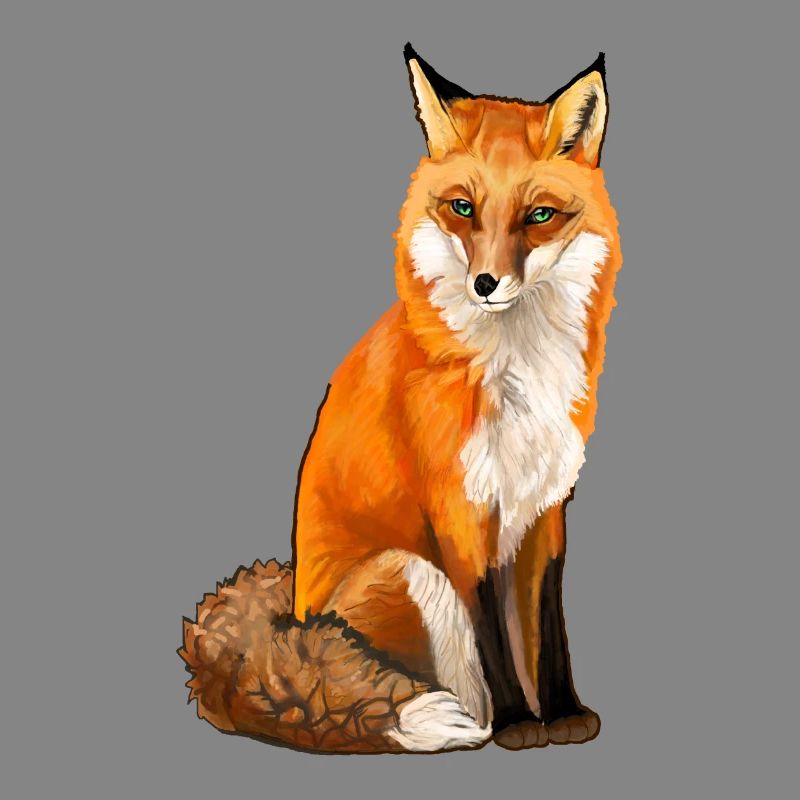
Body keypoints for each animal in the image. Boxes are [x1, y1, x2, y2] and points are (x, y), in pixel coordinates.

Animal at [181, 44, 622, 754]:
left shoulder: (545, 507)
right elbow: (493, 635)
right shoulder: (458, 512)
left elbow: (548, 625)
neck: (515, 371)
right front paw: (521, 724)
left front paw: (563, 712)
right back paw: (472, 722)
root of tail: (290, 617)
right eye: (463, 208)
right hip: (412, 570)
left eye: (539, 216)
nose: (486, 283)